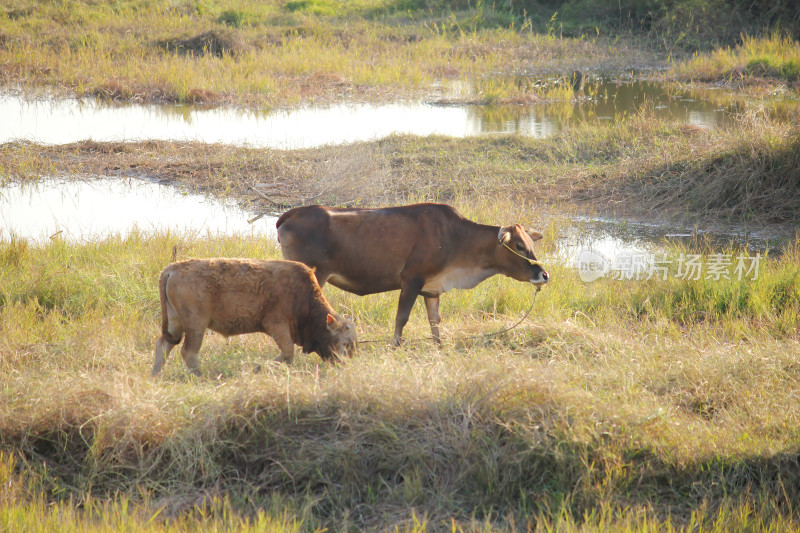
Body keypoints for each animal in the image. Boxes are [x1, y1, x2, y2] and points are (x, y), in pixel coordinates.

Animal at [152, 256, 356, 374]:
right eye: (345, 343)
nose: (346, 366)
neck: (303, 294)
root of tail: (172, 269)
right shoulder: (277, 325)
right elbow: (288, 352)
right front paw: (261, 368)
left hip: (175, 324)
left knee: (164, 345)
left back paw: (156, 375)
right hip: (196, 326)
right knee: (188, 352)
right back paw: (199, 376)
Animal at [276, 201, 552, 344]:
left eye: (531, 243)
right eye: (519, 246)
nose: (544, 275)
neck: (455, 238)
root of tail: (293, 213)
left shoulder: (432, 289)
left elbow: (435, 320)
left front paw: (439, 347)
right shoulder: (411, 280)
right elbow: (401, 318)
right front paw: (395, 346)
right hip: (315, 276)